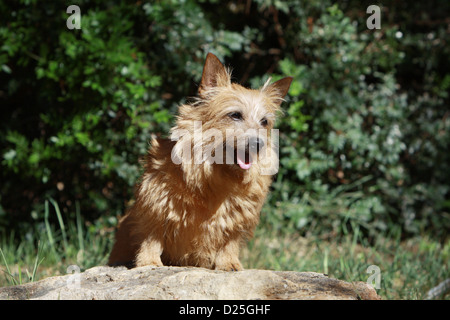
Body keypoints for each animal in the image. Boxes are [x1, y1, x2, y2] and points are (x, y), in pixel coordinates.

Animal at [108, 52, 292, 270]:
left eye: (264, 122)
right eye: (235, 115)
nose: (259, 143)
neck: (216, 176)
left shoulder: (238, 218)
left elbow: (229, 241)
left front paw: (229, 263)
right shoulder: (156, 203)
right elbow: (152, 237)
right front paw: (149, 261)